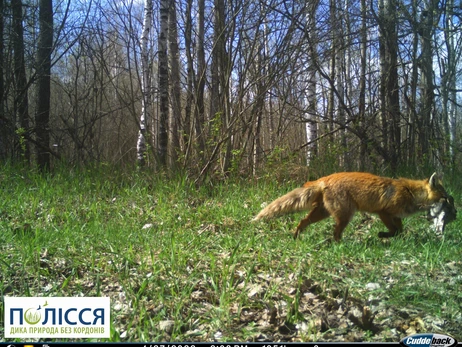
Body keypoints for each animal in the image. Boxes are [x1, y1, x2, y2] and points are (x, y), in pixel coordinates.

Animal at [254, 172, 450, 242]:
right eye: (445, 197)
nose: (453, 206)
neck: (410, 193)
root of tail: (325, 178)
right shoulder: (383, 213)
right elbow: (394, 230)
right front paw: (383, 235)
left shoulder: (396, 215)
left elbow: (400, 230)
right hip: (345, 215)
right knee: (335, 233)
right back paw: (339, 245)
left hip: (322, 213)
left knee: (303, 221)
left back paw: (295, 236)